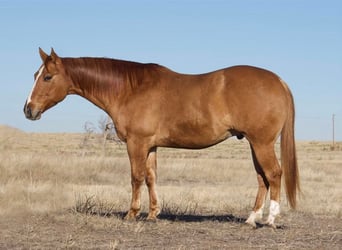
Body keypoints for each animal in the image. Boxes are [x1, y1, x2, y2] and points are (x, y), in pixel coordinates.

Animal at [23, 47, 300, 228]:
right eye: (35, 75)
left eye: (47, 77)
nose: (28, 110)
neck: (130, 89)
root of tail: (278, 81)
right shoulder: (151, 146)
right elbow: (151, 178)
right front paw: (153, 214)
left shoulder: (136, 143)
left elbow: (136, 177)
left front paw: (132, 214)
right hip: (254, 144)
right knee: (262, 178)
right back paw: (251, 219)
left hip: (261, 143)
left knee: (274, 174)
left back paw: (270, 220)